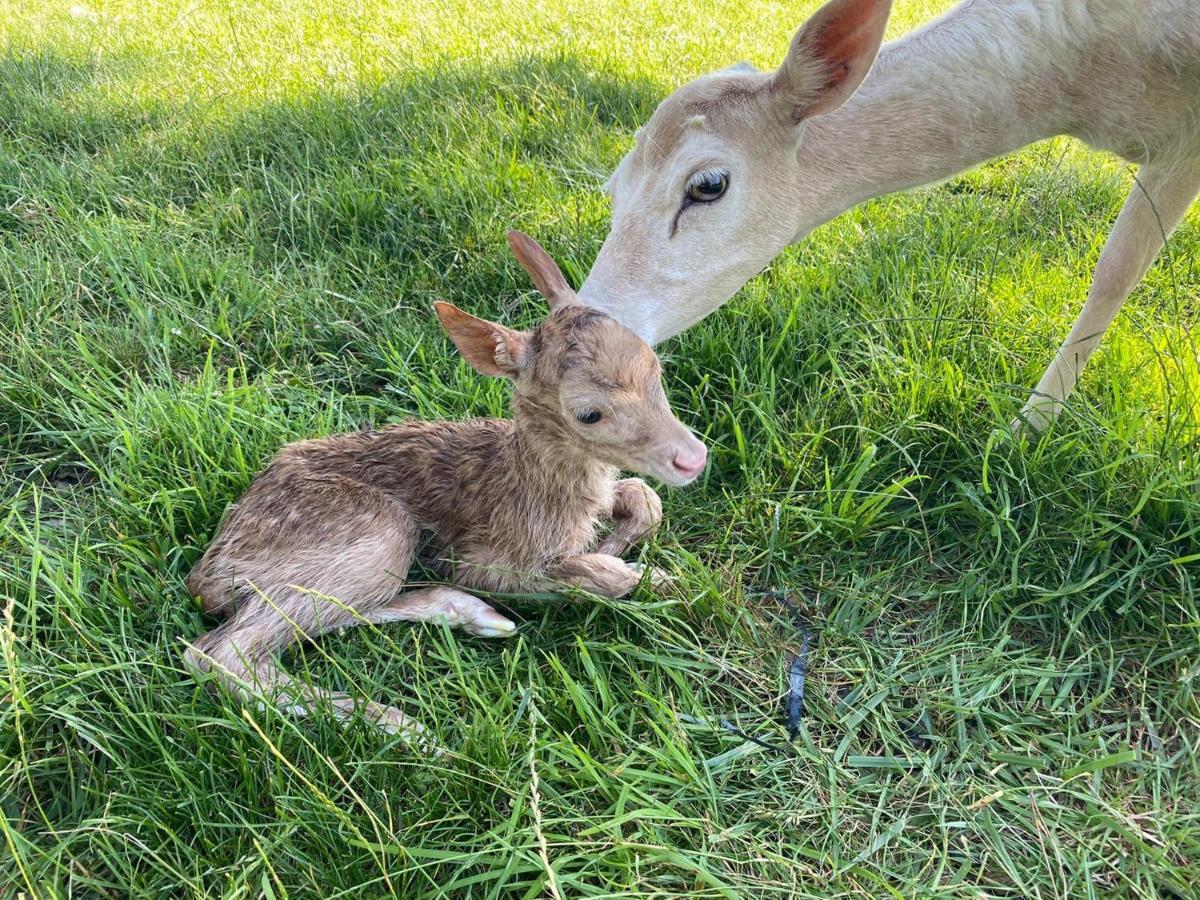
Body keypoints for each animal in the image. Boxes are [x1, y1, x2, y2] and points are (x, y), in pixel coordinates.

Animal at [576, 0, 1195, 429]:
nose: (583, 340)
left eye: (707, 185)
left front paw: (1028, 427)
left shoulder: (1182, 147)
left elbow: (1114, 270)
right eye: (613, 188)